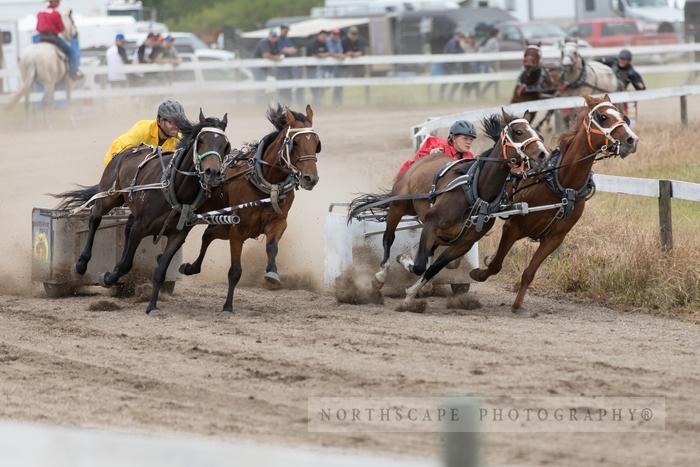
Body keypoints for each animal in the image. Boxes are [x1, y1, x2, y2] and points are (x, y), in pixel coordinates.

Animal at [55, 110, 230, 314]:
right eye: (200, 140)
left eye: (225, 145)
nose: (212, 173)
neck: (174, 188)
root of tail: (126, 151)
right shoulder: (140, 227)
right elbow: (126, 264)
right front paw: (108, 277)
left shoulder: (177, 236)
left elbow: (160, 271)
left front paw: (152, 305)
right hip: (110, 196)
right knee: (95, 218)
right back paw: (82, 263)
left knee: (125, 228)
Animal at [180, 106, 322, 314]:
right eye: (295, 142)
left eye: (317, 143)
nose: (310, 178)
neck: (267, 181)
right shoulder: (237, 230)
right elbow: (235, 271)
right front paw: (228, 305)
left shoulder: (278, 222)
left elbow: (272, 247)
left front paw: (272, 273)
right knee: (205, 235)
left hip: (222, 226)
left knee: (208, 235)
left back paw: (192, 267)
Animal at [348, 111, 548, 312]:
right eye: (518, 131)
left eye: (535, 130)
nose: (543, 153)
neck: (474, 191)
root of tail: (418, 162)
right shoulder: (431, 225)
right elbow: (419, 265)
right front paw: (404, 265)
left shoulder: (463, 243)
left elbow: (433, 267)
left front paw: (412, 293)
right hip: (398, 206)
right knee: (388, 238)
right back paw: (380, 277)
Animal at [470, 94, 640, 310]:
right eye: (602, 117)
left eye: (621, 114)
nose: (631, 140)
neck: (561, 183)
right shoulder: (512, 227)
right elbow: (495, 264)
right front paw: (480, 270)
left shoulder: (555, 238)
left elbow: (529, 272)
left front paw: (517, 305)